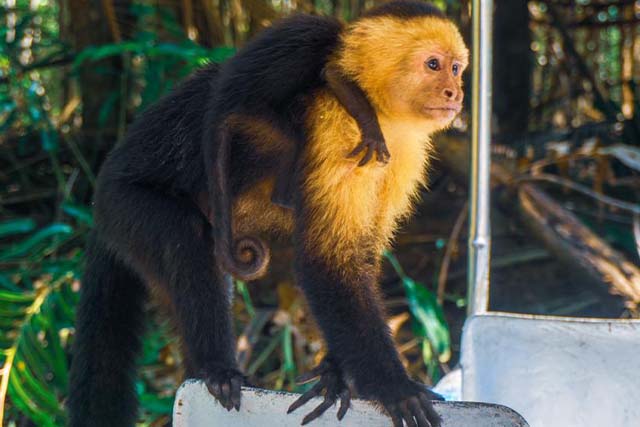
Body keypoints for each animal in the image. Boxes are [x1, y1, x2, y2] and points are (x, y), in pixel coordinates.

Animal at [67, 2, 468, 427]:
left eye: (456, 68)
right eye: (432, 65)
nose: (455, 93)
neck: (382, 113)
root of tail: (97, 208)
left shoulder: (405, 153)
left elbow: (361, 254)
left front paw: (336, 374)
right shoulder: (340, 128)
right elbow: (327, 261)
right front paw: (394, 388)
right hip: (126, 203)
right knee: (186, 238)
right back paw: (216, 369)